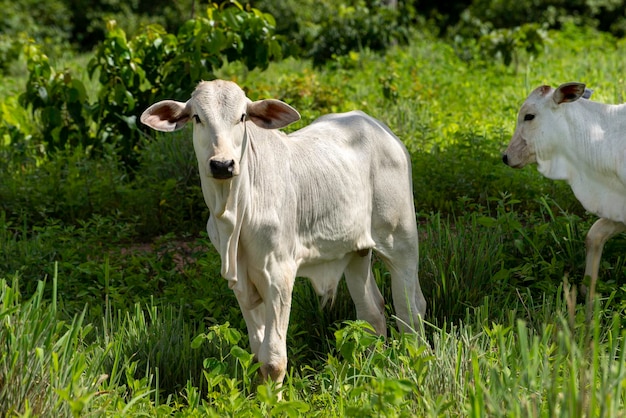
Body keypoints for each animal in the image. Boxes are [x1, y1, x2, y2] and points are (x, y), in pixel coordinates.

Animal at [140, 80, 424, 386]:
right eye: (197, 118)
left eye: (242, 117)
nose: (222, 165)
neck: (233, 213)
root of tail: (381, 129)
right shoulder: (241, 282)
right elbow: (257, 353)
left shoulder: (278, 274)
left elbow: (274, 360)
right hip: (355, 252)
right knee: (371, 313)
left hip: (401, 240)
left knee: (411, 311)